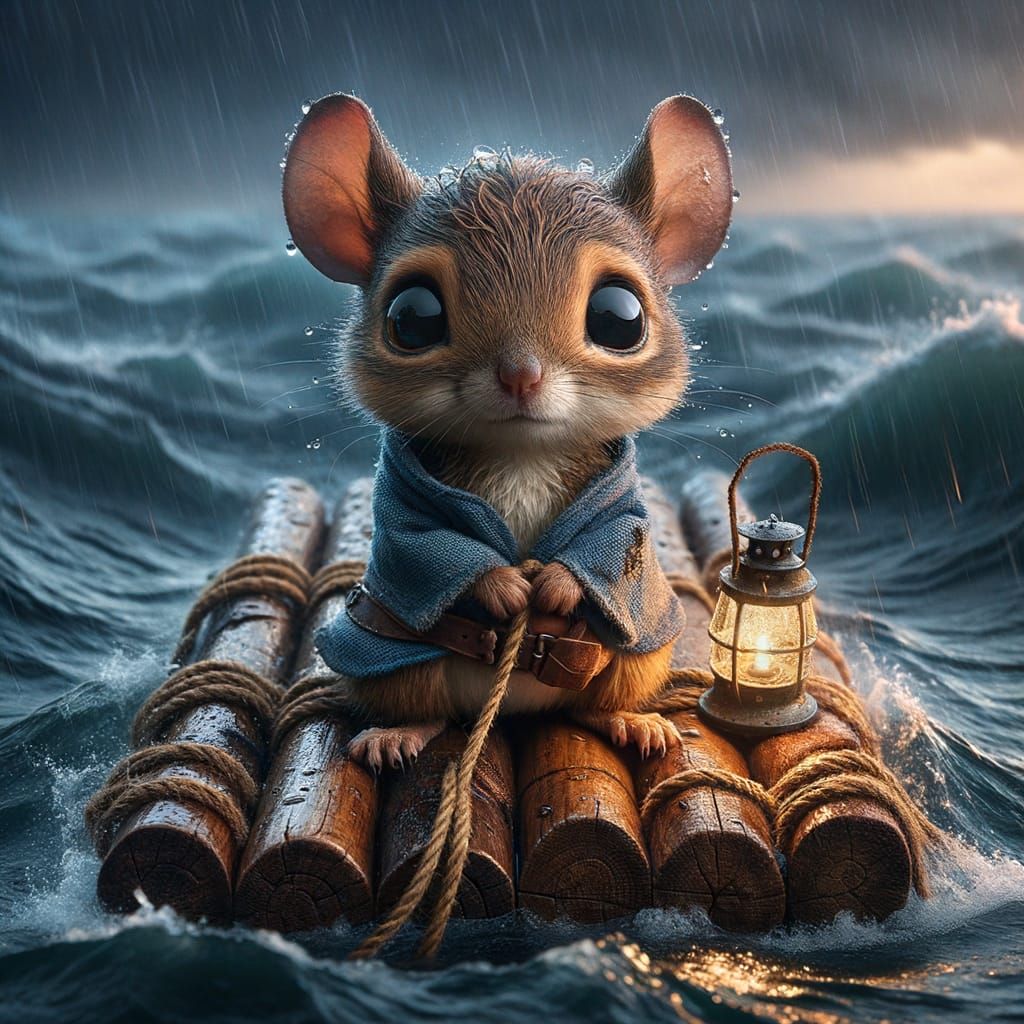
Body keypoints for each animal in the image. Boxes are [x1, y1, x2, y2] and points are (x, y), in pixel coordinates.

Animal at [283, 93, 732, 771]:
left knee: (596, 696)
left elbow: (610, 540)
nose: (521, 374)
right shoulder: (403, 507)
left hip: (642, 651)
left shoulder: (622, 504)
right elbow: (428, 545)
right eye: (411, 318)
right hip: (391, 659)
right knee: (420, 698)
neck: (522, 455)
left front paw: (557, 582)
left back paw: (628, 720)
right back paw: (398, 733)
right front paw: (499, 586)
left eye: (619, 318)